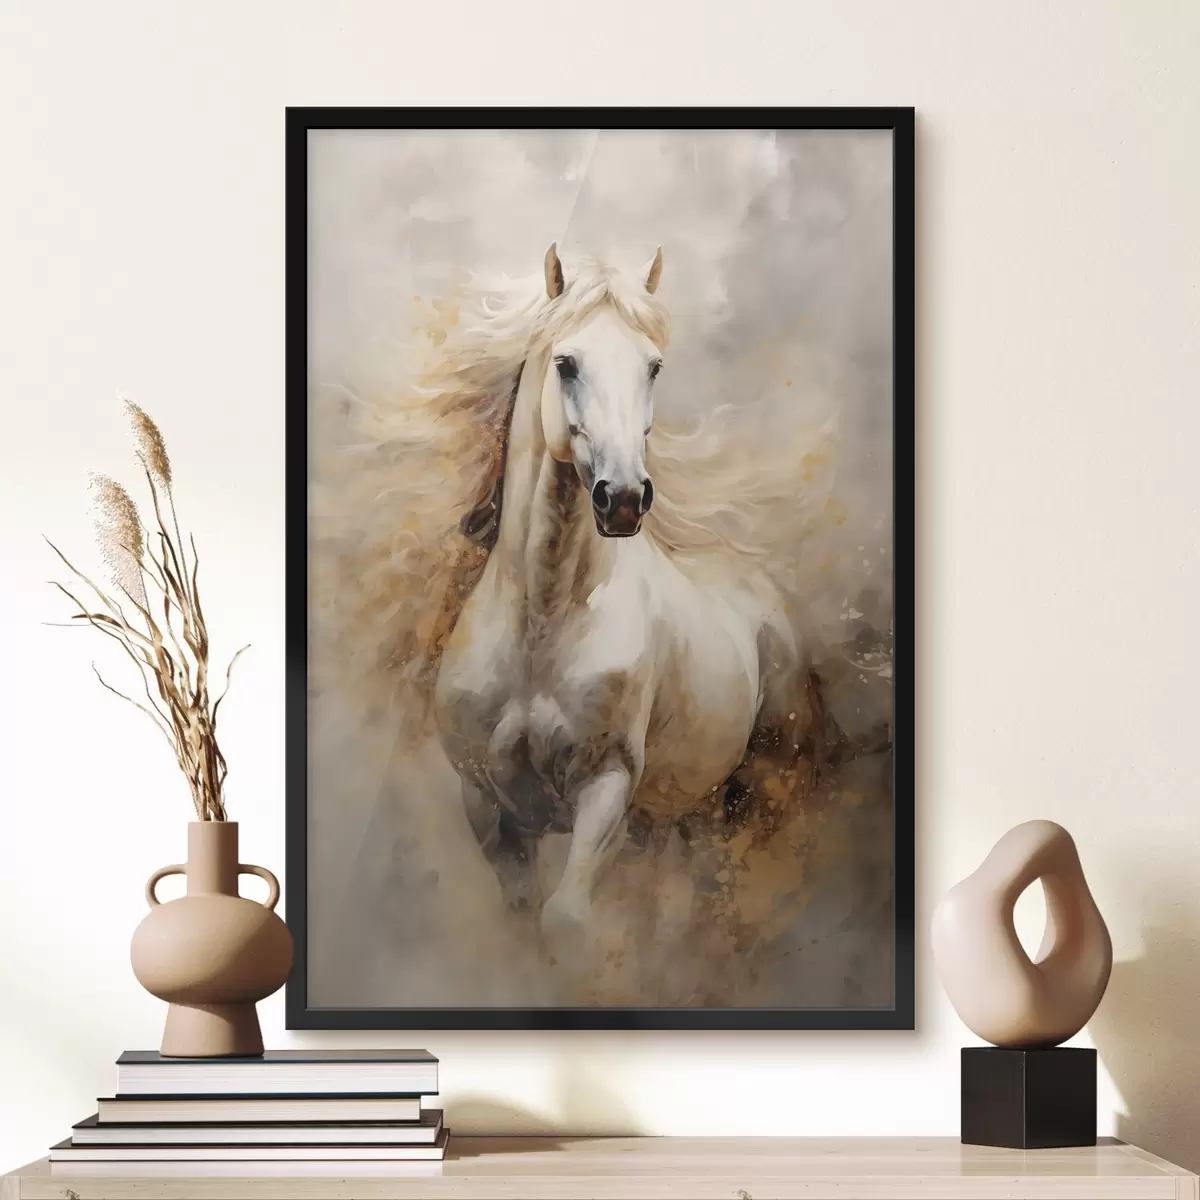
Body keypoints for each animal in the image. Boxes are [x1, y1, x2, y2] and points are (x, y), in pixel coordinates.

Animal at [430, 245, 818, 938]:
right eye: (566, 363)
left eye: (653, 367)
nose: (625, 499)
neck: (544, 622)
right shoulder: (491, 810)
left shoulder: (607, 789)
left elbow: (565, 921)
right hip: (680, 813)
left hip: (756, 790)